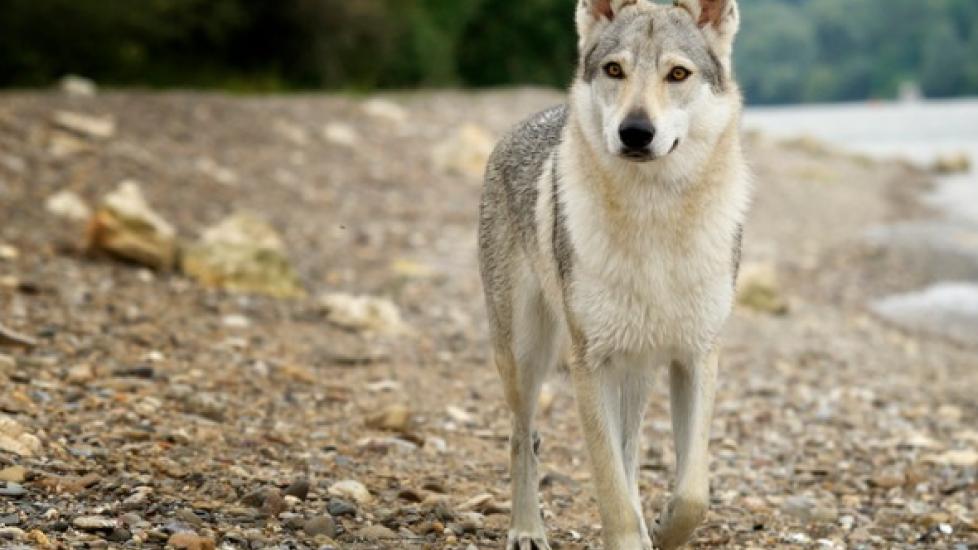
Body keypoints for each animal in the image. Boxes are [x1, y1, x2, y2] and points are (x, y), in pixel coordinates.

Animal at [478, 1, 748, 550]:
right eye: (614, 70)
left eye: (677, 74)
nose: (635, 132)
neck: (654, 218)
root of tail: (527, 121)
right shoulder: (590, 364)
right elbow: (610, 490)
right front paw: (634, 534)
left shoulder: (697, 357)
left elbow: (693, 493)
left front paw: (664, 528)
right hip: (525, 357)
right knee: (523, 435)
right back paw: (526, 528)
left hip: (637, 369)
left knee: (629, 450)